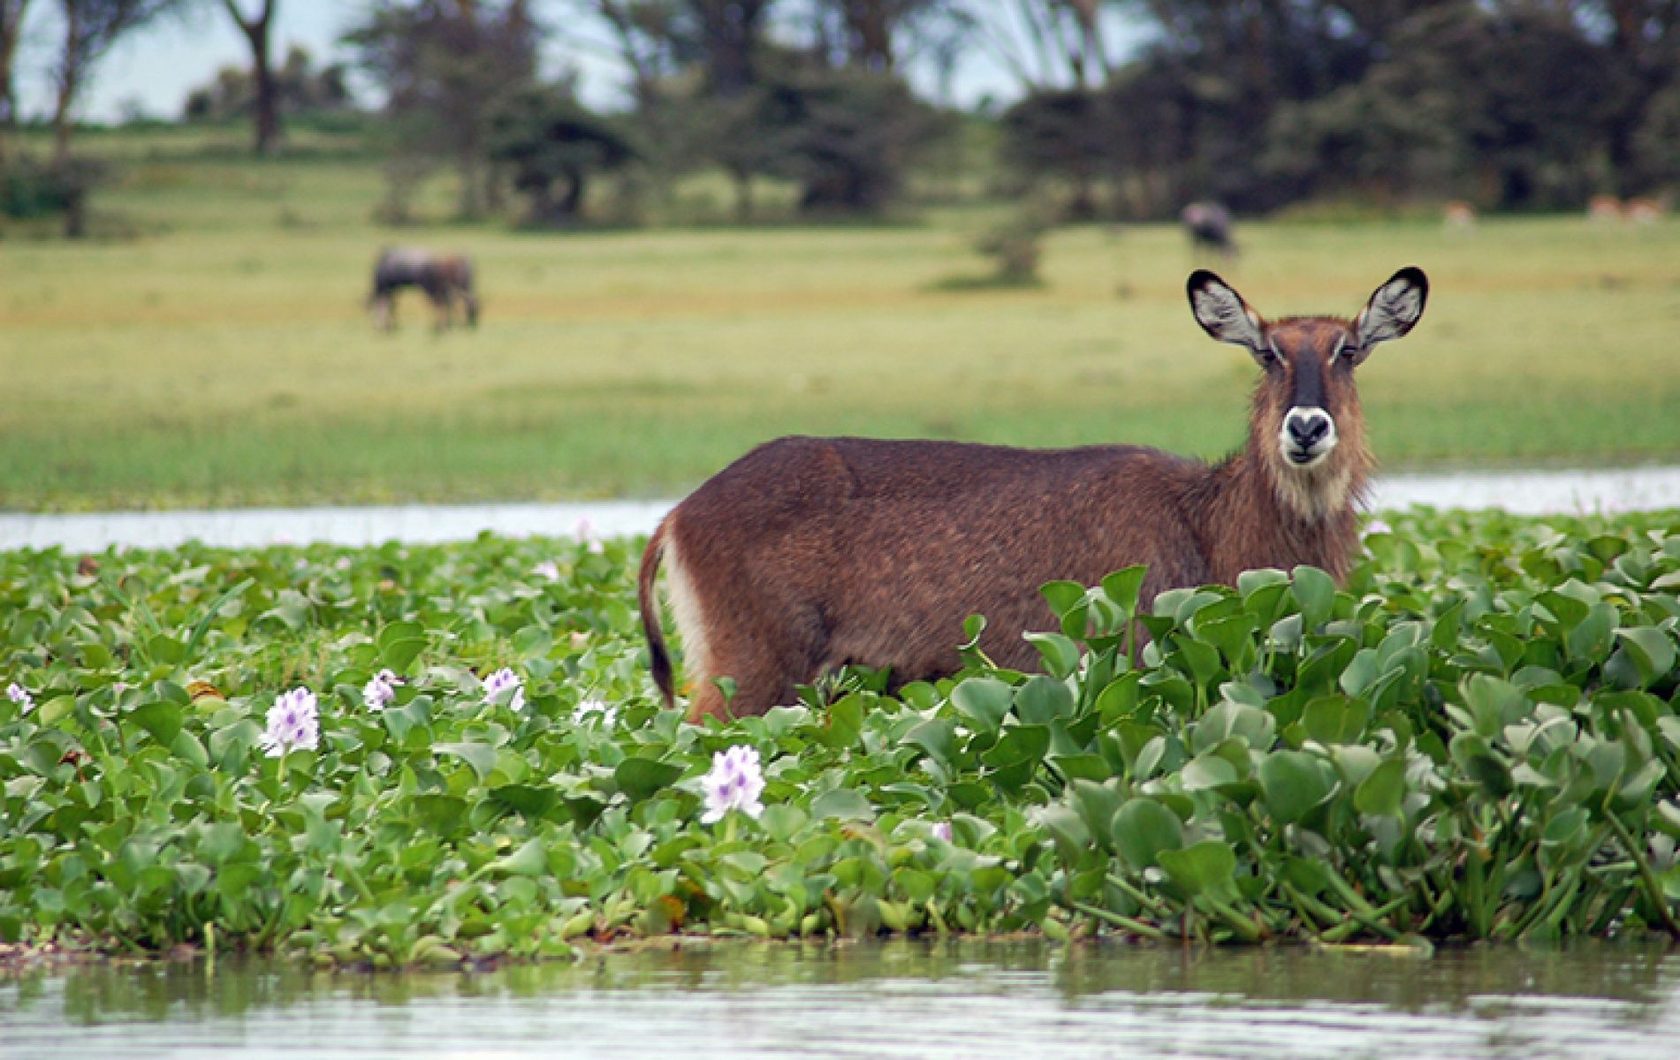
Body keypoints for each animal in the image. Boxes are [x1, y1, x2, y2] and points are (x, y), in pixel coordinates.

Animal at [635, 265, 1424, 722]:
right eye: (1266, 352)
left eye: (1349, 350)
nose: (1307, 426)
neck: (1207, 523)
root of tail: (677, 513)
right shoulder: (1128, 665)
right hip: (751, 674)